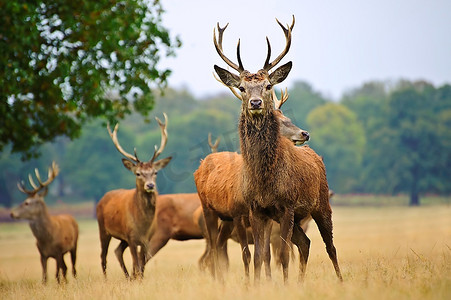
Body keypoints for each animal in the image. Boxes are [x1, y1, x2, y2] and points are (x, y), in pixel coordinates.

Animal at [214, 15, 344, 284]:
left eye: (267, 86)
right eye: (242, 88)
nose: (255, 103)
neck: (265, 178)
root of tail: (315, 155)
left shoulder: (287, 204)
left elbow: (283, 254)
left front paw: (283, 286)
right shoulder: (257, 209)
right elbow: (259, 256)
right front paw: (257, 286)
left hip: (321, 203)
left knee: (330, 246)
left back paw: (340, 280)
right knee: (305, 242)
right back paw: (301, 282)